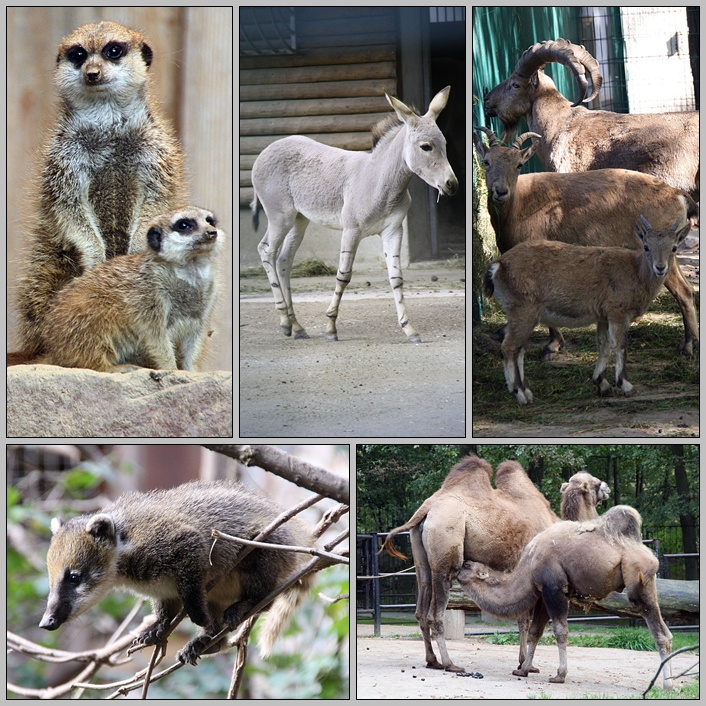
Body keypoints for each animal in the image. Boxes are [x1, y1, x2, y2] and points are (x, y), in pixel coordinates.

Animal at [252, 86, 456, 342]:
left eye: (445, 143)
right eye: (426, 146)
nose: (452, 185)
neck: (381, 180)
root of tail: (268, 148)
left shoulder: (393, 231)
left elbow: (396, 279)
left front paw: (409, 328)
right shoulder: (351, 230)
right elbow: (343, 275)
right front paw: (331, 328)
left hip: (300, 219)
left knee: (283, 260)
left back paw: (297, 326)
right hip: (280, 216)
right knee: (266, 251)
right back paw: (284, 321)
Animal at [380, 454, 604, 672]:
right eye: (595, 483)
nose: (607, 488)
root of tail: (427, 509)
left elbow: (522, 619)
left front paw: (524, 663)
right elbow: (524, 620)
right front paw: (525, 664)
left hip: (421, 558)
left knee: (420, 608)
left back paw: (432, 660)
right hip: (445, 544)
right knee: (434, 613)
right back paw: (450, 663)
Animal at [456, 506, 672, 688]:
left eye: (467, 565)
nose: (456, 567)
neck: (528, 566)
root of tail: (650, 555)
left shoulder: (554, 589)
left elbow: (560, 631)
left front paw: (559, 675)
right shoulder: (543, 593)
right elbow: (535, 632)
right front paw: (523, 670)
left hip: (638, 579)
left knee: (658, 630)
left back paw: (667, 685)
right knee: (666, 632)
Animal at [484, 214, 688, 404]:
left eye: (674, 248)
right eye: (646, 246)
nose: (660, 267)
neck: (636, 273)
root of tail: (497, 266)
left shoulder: (604, 315)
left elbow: (604, 344)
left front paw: (602, 384)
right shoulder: (618, 311)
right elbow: (620, 344)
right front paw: (626, 386)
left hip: (519, 313)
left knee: (519, 349)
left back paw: (526, 391)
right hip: (523, 309)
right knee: (509, 347)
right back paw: (520, 394)